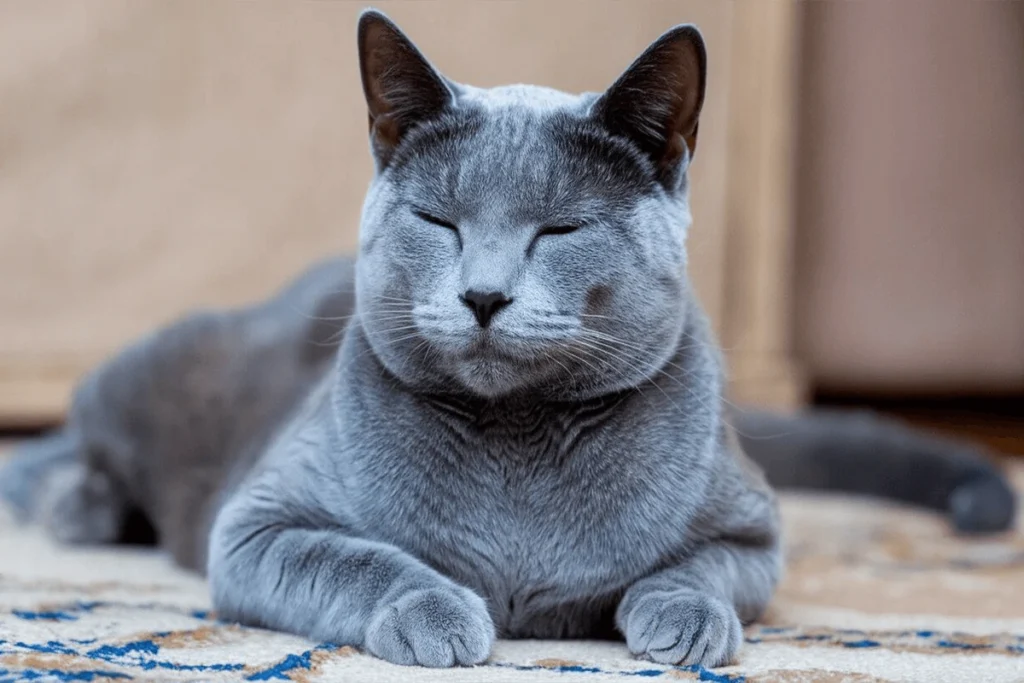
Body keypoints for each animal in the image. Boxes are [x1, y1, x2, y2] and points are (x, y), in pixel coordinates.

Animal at [0, 9, 1011, 671]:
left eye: (559, 230)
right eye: (439, 221)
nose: (483, 293)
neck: (517, 442)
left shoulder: (754, 528)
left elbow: (702, 568)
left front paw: (683, 620)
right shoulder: (257, 523)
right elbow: (354, 554)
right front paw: (438, 610)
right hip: (158, 376)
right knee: (84, 432)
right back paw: (71, 499)